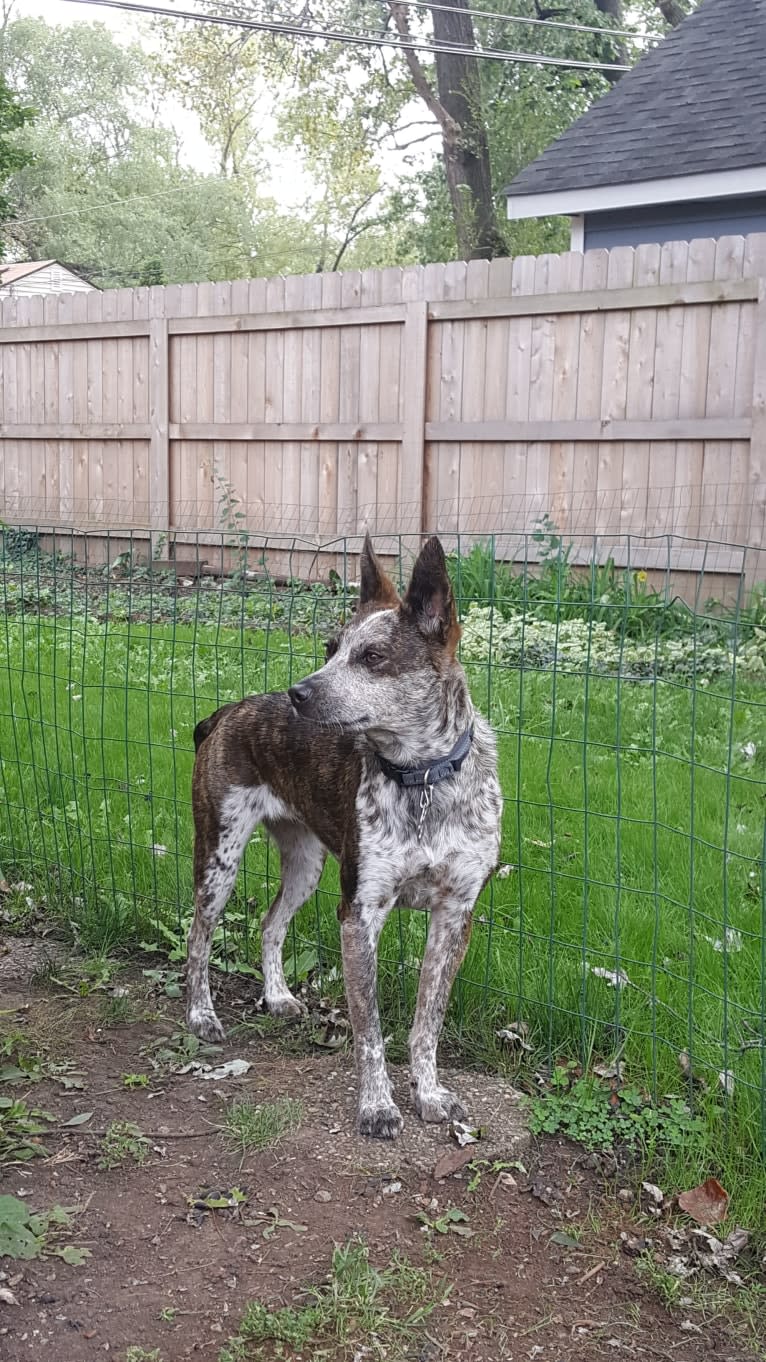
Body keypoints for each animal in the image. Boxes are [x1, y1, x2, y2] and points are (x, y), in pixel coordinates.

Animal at [185, 531, 501, 1138]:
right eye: (330, 647)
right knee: (198, 937)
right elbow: (370, 1032)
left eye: (372, 657)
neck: (422, 780)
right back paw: (200, 1015)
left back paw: (278, 997)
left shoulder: (456, 916)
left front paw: (429, 1094)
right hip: (219, 859)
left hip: (307, 866)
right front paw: (377, 1106)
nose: (298, 693)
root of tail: (229, 711)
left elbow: (427, 1024)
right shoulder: (360, 914)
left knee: (269, 924)